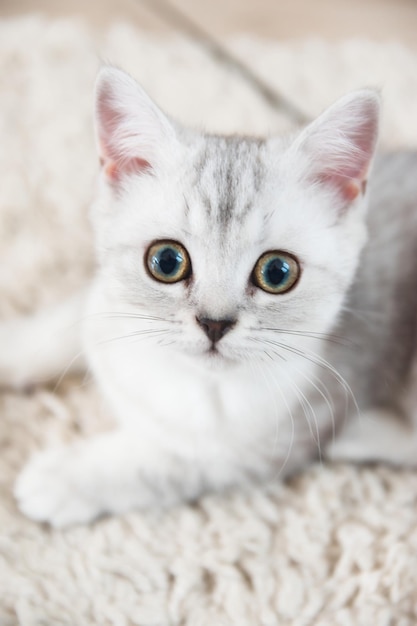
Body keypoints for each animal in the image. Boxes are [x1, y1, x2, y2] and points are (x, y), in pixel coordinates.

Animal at [1, 67, 414, 528]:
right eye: (166, 261)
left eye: (277, 272)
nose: (215, 323)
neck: (184, 377)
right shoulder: (104, 300)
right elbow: (61, 323)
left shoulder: (260, 448)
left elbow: (168, 462)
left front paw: (67, 476)